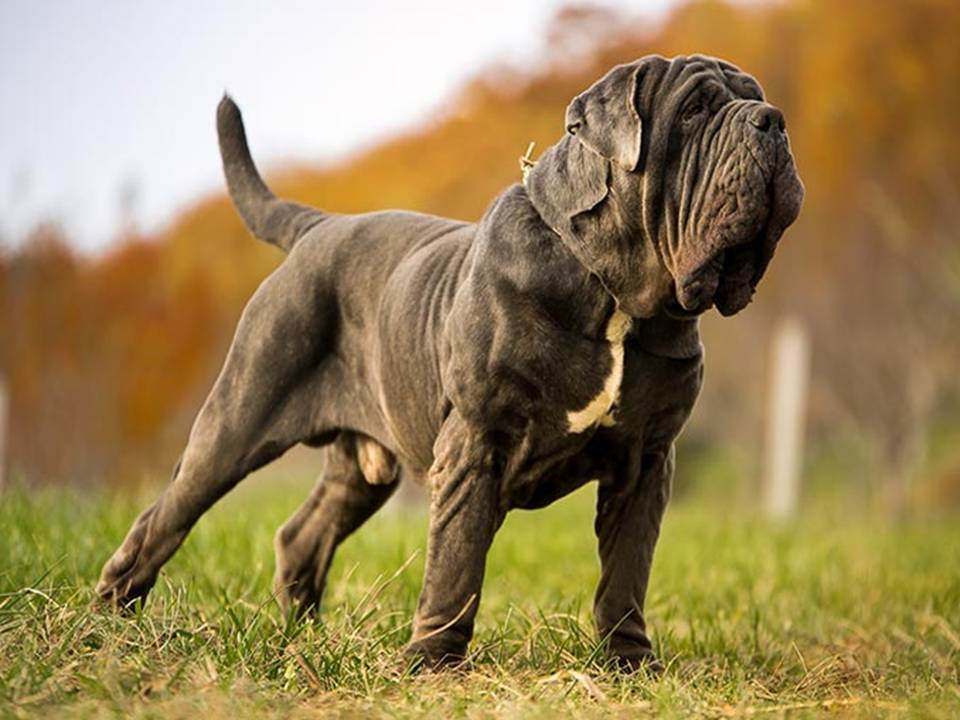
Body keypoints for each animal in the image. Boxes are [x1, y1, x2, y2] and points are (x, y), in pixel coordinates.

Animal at [97, 53, 804, 672]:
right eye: (694, 111)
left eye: (755, 96)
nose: (772, 119)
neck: (611, 291)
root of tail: (317, 227)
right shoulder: (476, 443)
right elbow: (457, 561)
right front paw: (433, 663)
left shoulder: (647, 460)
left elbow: (626, 572)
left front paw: (629, 665)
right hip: (236, 420)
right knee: (164, 518)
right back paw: (108, 622)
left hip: (362, 468)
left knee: (302, 535)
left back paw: (304, 640)